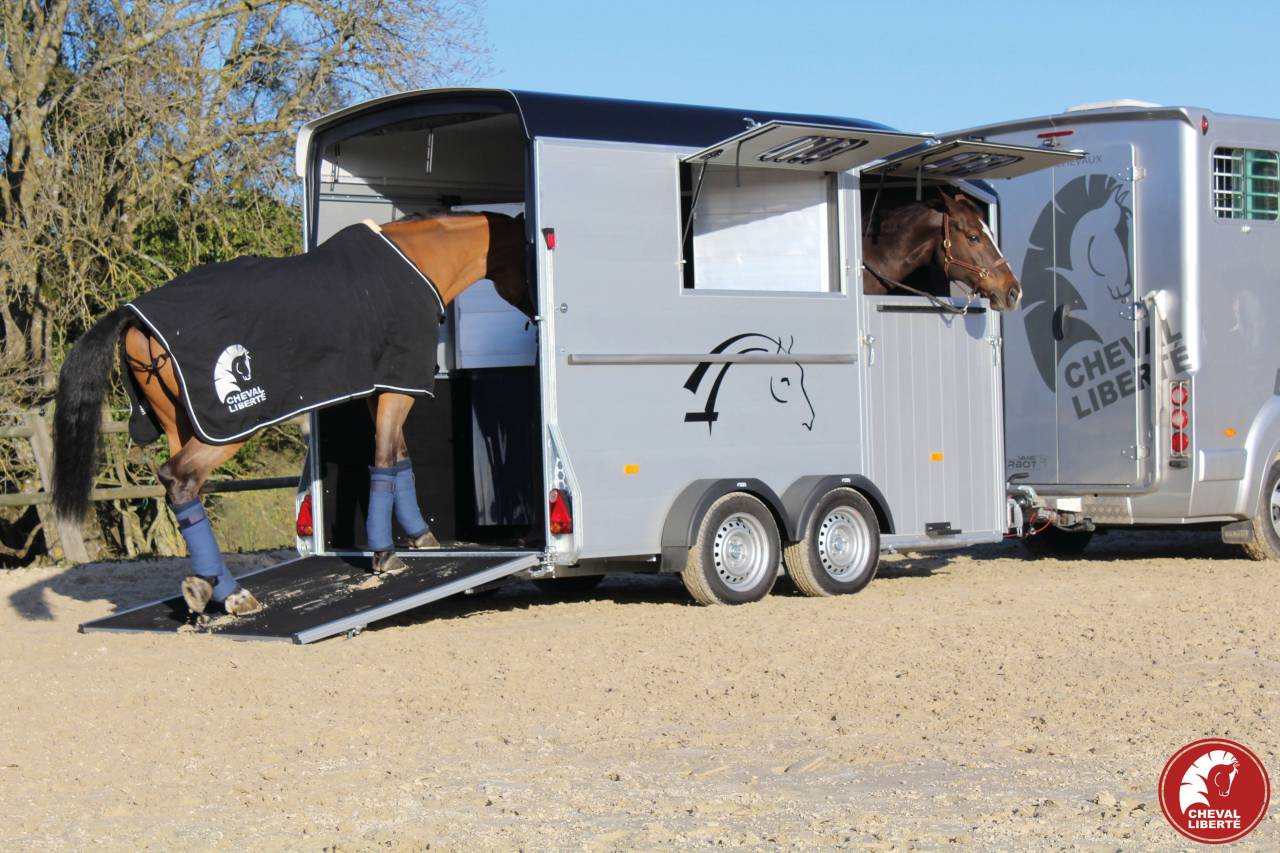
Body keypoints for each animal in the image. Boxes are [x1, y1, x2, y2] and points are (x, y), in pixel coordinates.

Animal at [52, 213, 531, 617]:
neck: (414, 262)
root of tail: (135, 319)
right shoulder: (399, 389)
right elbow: (384, 460)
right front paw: (385, 553)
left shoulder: (382, 391)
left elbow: (398, 459)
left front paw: (418, 536)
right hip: (226, 430)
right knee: (180, 478)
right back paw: (233, 593)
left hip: (181, 425)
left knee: (186, 492)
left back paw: (210, 588)